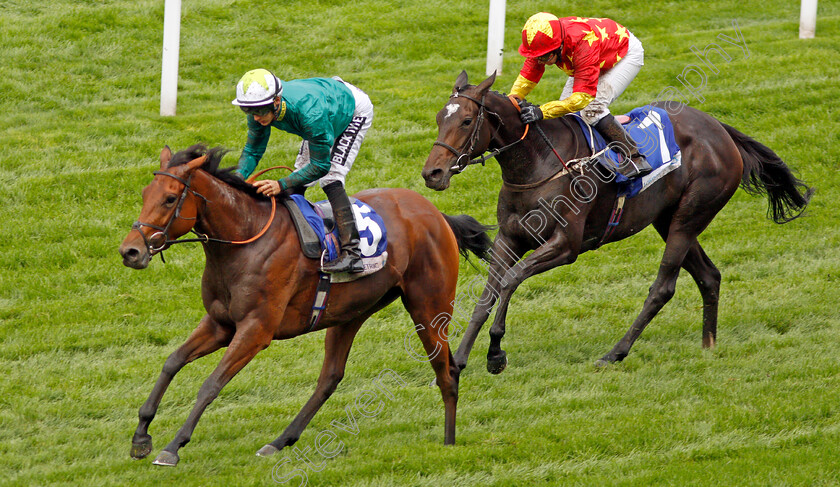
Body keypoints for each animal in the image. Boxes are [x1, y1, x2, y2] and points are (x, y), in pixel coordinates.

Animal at [118, 144, 492, 466]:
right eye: (144, 195)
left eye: (169, 199)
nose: (130, 251)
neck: (244, 241)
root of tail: (435, 213)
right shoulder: (220, 323)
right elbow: (172, 362)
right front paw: (141, 436)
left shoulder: (256, 330)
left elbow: (210, 384)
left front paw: (172, 447)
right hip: (350, 312)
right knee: (330, 377)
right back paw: (279, 441)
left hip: (429, 307)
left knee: (446, 371)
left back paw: (449, 442)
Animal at [420, 72, 812, 376]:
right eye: (440, 118)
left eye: (466, 121)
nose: (432, 173)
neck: (537, 162)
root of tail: (720, 130)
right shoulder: (509, 238)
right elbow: (486, 297)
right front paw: (459, 359)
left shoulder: (566, 245)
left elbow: (510, 281)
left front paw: (496, 354)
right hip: (668, 219)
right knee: (709, 275)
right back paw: (708, 345)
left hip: (689, 217)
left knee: (664, 287)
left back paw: (614, 353)